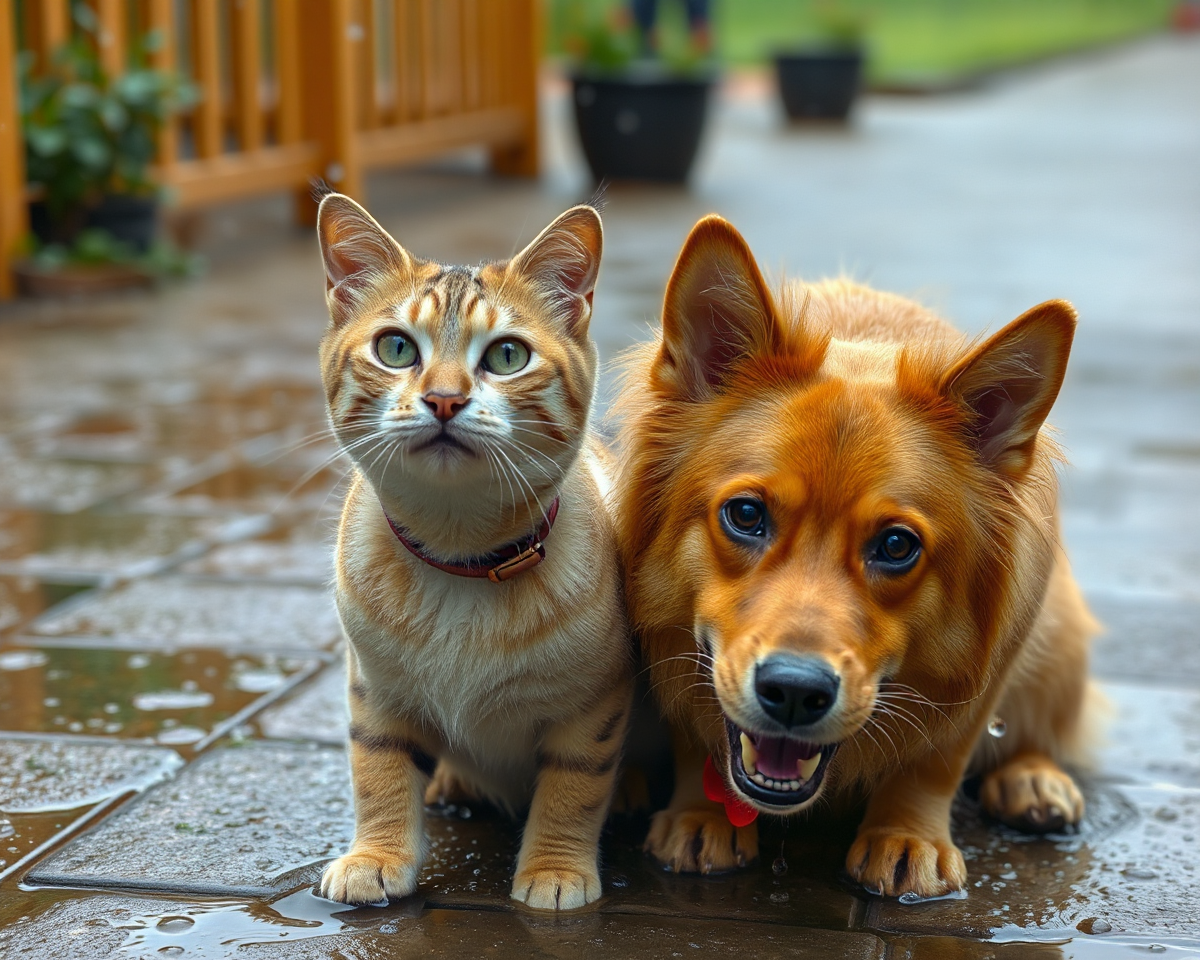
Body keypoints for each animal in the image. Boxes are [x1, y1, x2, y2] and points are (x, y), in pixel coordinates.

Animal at [314, 190, 633, 912]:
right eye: (396, 348)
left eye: (508, 356)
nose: (443, 398)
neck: (461, 561)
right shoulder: (374, 688)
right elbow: (377, 769)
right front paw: (377, 856)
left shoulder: (595, 708)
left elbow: (574, 786)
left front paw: (555, 867)